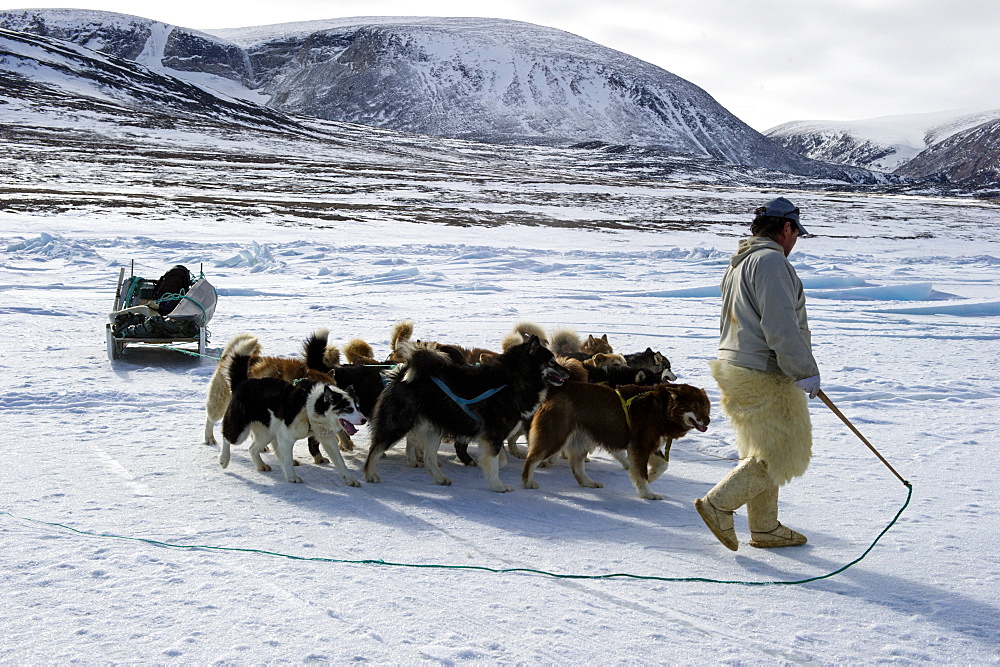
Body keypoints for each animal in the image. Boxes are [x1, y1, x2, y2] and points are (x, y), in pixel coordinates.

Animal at [219, 350, 368, 486]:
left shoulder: (328, 440)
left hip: (266, 434)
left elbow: (340, 462)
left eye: (358, 407)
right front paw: (292, 477)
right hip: (240, 431)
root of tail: (242, 383)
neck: (309, 406)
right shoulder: (286, 438)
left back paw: (261, 465)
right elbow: (287, 459)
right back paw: (224, 459)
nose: (364, 420)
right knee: (226, 437)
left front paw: (350, 479)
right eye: (348, 409)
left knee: (252, 449)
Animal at [366, 336, 572, 494]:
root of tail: (402, 373)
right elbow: (495, 463)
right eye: (552, 361)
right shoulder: (494, 435)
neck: (510, 382)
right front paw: (498, 486)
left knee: (429, 458)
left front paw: (489, 470)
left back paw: (440, 478)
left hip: (434, 429)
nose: (569, 371)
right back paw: (369, 474)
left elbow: (500, 460)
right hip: (397, 425)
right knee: (375, 449)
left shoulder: (491, 437)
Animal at [524, 384, 712, 498]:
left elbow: (662, 465)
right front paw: (648, 493)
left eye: (706, 406)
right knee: (532, 459)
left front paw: (651, 476)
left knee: (577, 466)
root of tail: (556, 390)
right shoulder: (641, 446)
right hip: (555, 438)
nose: (708, 421)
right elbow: (641, 473)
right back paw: (527, 481)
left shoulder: (647, 445)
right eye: (694, 406)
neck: (662, 409)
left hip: (581, 440)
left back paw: (588, 483)